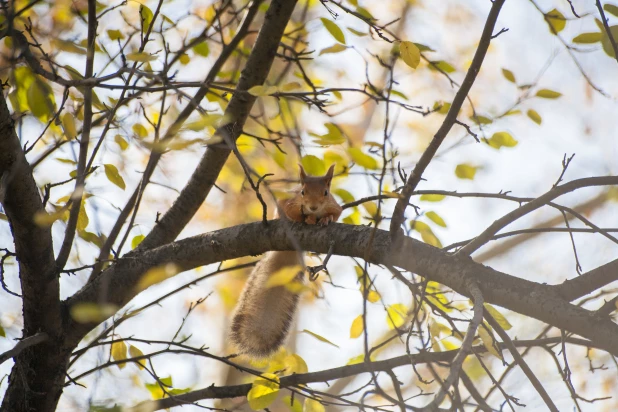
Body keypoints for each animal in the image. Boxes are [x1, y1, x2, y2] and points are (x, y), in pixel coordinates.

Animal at [227, 164, 340, 358]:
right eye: (302, 191)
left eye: (326, 193)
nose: (313, 207)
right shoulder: (288, 201)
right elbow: (288, 211)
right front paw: (306, 218)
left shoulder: (335, 206)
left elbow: (335, 215)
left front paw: (326, 219)